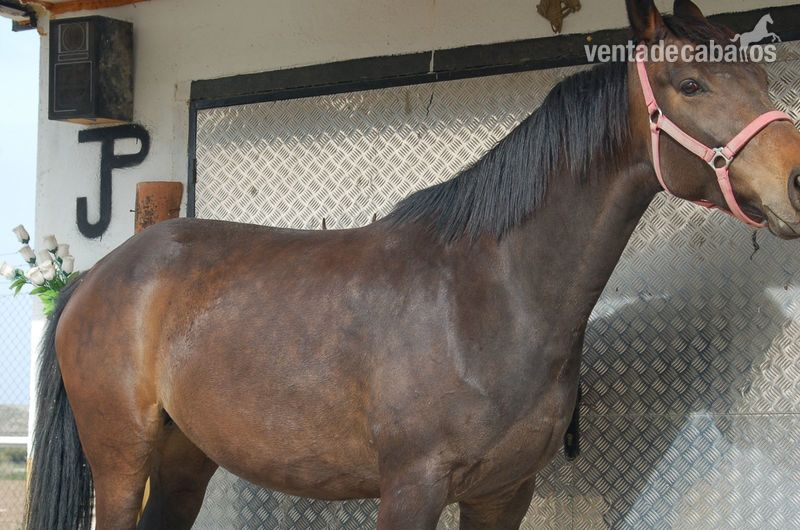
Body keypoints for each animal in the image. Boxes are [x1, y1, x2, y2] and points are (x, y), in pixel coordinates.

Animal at [24, 1, 800, 529]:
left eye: (763, 74)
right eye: (690, 85)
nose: (796, 181)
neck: (488, 297)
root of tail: (98, 275)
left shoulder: (503, 494)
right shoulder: (411, 488)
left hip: (186, 459)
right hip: (121, 461)